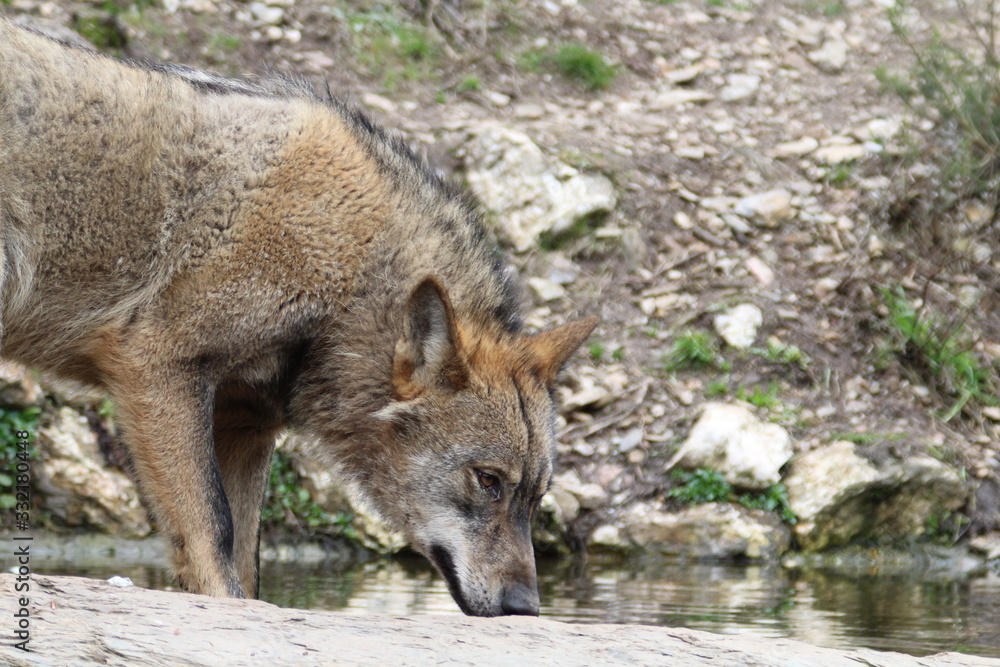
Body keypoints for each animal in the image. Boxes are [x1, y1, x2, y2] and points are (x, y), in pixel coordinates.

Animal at [0, 21, 597, 617]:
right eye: (488, 480)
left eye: (535, 497)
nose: (525, 607)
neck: (350, 262)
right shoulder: (159, 369)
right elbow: (213, 532)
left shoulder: (244, 423)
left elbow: (245, 559)